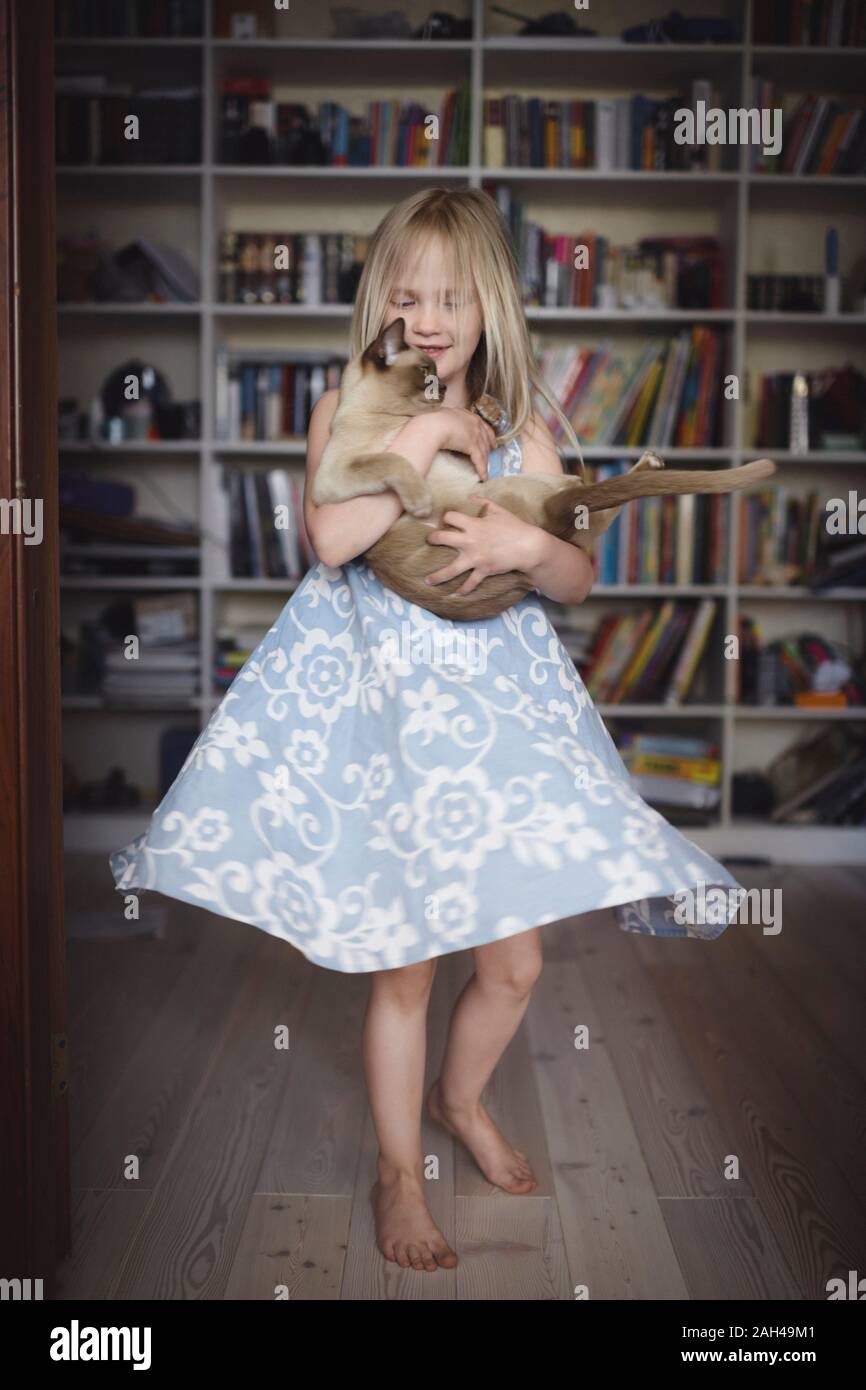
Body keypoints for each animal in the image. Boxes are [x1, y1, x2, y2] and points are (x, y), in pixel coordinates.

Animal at [312, 318, 778, 622]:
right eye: (426, 374)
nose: (443, 387)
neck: (395, 417)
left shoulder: (465, 454)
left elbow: (483, 428)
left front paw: (485, 408)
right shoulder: (335, 476)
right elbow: (394, 459)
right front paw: (421, 499)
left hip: (515, 484)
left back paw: (643, 463)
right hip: (507, 489)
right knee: (589, 510)